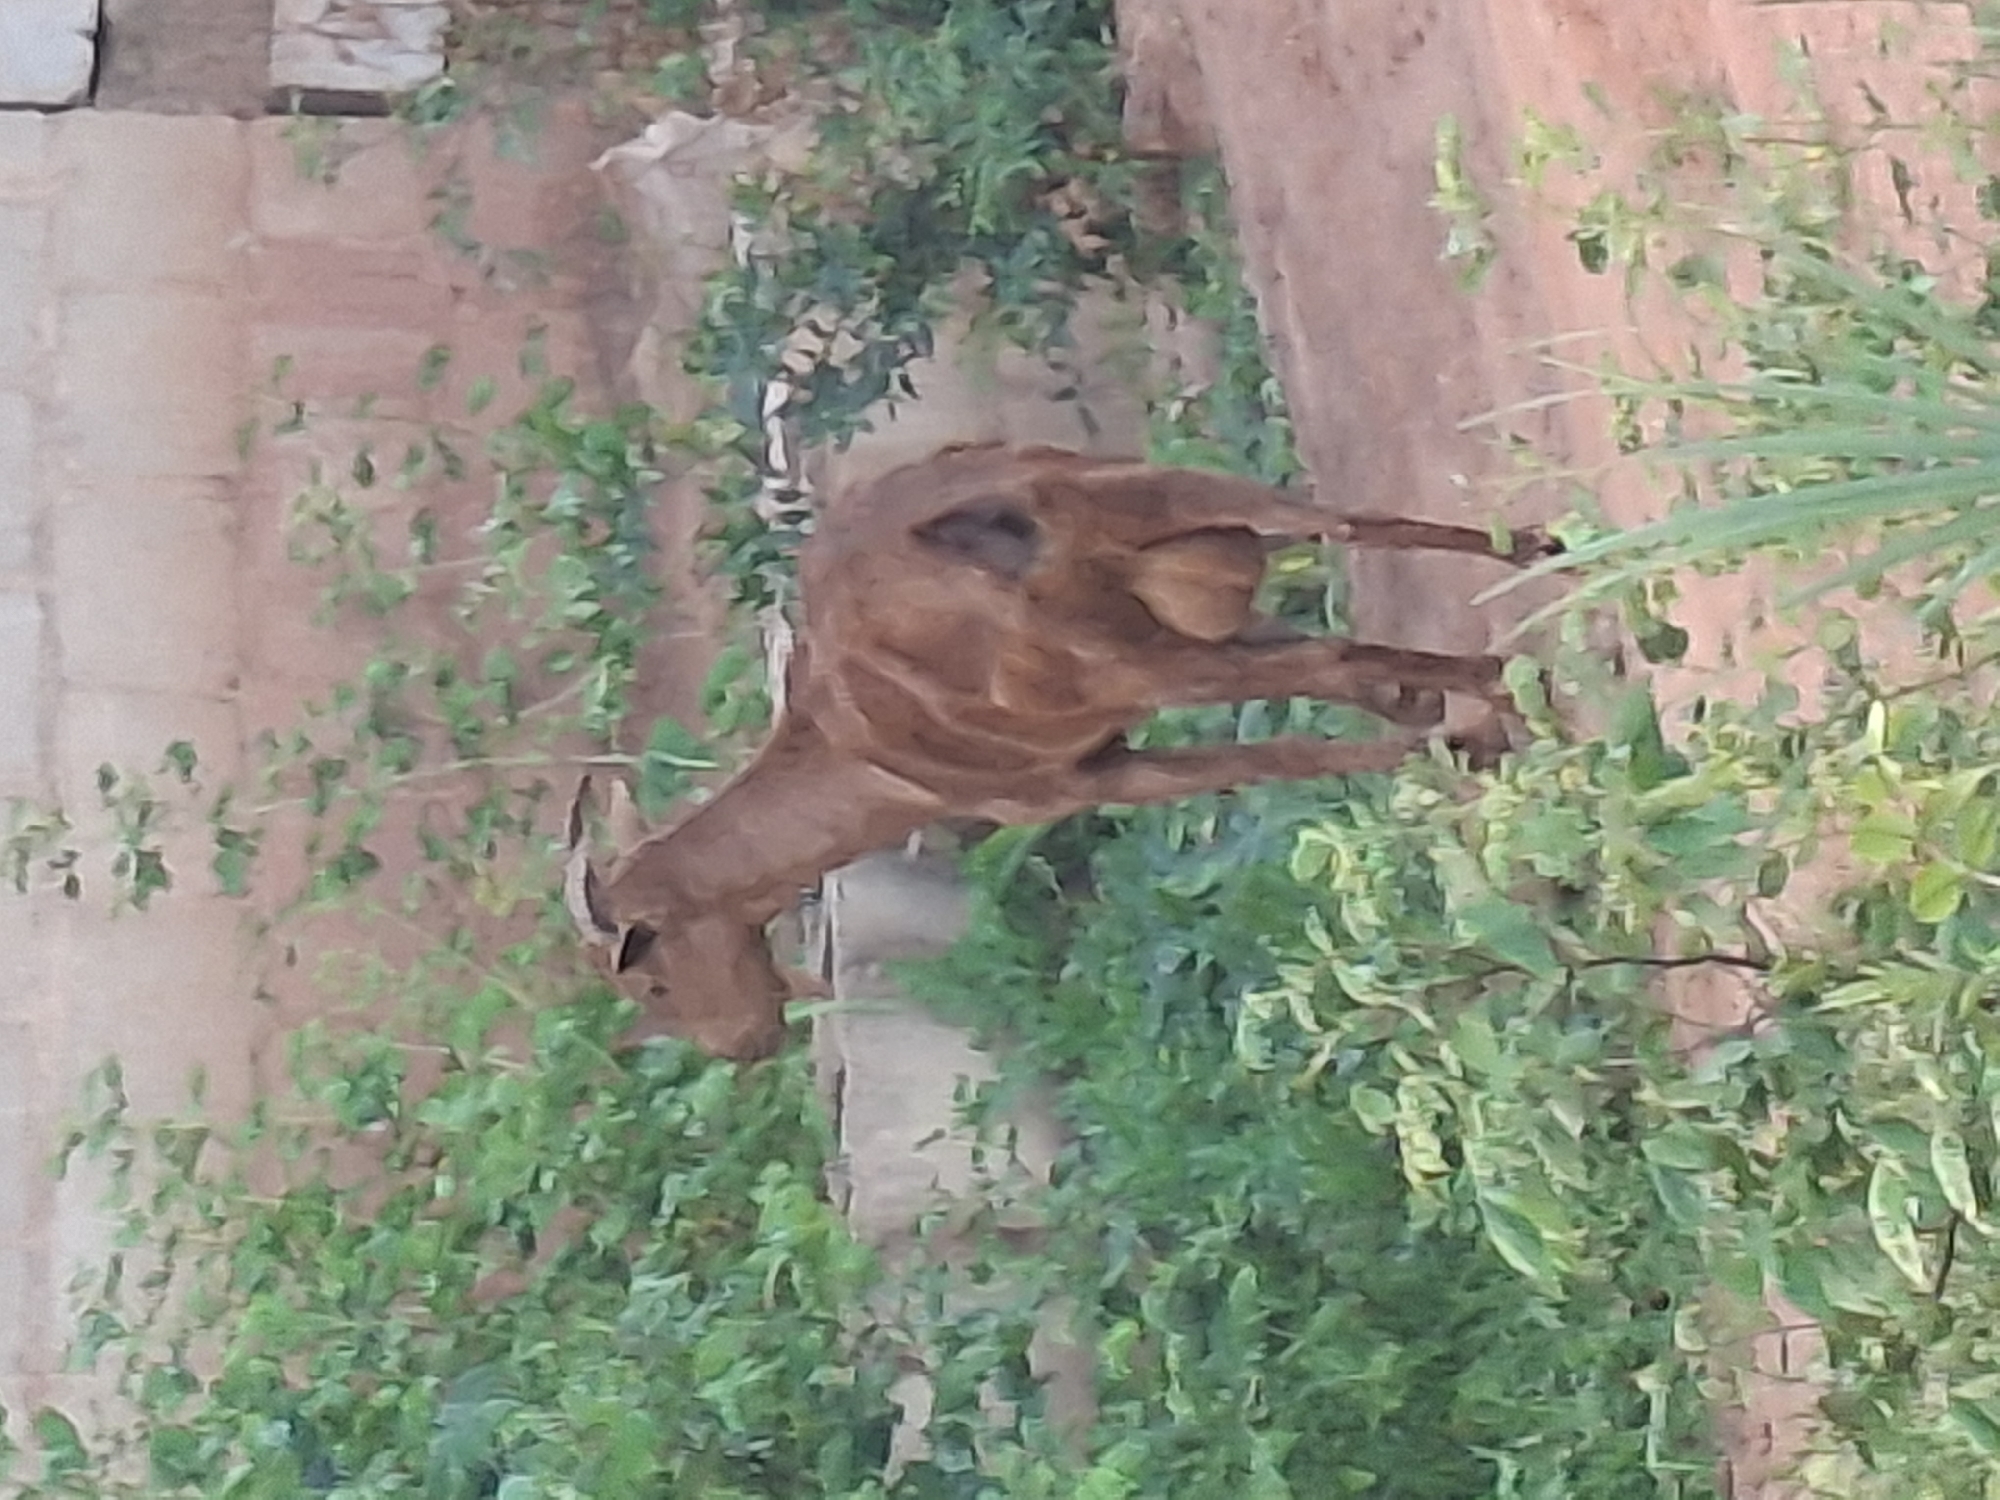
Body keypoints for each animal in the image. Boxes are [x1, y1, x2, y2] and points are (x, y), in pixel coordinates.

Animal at [565, 443, 1550, 1058]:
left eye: (645, 982)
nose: (745, 1043)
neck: (852, 752)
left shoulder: (1086, 776)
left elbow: (1284, 751)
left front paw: (1464, 739)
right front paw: (1434, 712)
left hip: (1140, 660)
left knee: (1327, 644)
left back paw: (1503, 695)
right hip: (1173, 499)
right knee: (1351, 527)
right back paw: (1543, 557)